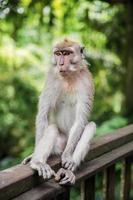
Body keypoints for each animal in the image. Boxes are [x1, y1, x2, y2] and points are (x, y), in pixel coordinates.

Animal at [22, 38, 96, 185]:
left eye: (67, 53)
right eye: (58, 53)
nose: (61, 63)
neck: (69, 76)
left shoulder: (86, 80)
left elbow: (80, 120)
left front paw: (67, 156)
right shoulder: (51, 78)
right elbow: (43, 116)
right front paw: (33, 156)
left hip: (68, 143)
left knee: (90, 126)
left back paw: (70, 169)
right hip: (56, 147)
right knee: (52, 128)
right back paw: (38, 162)